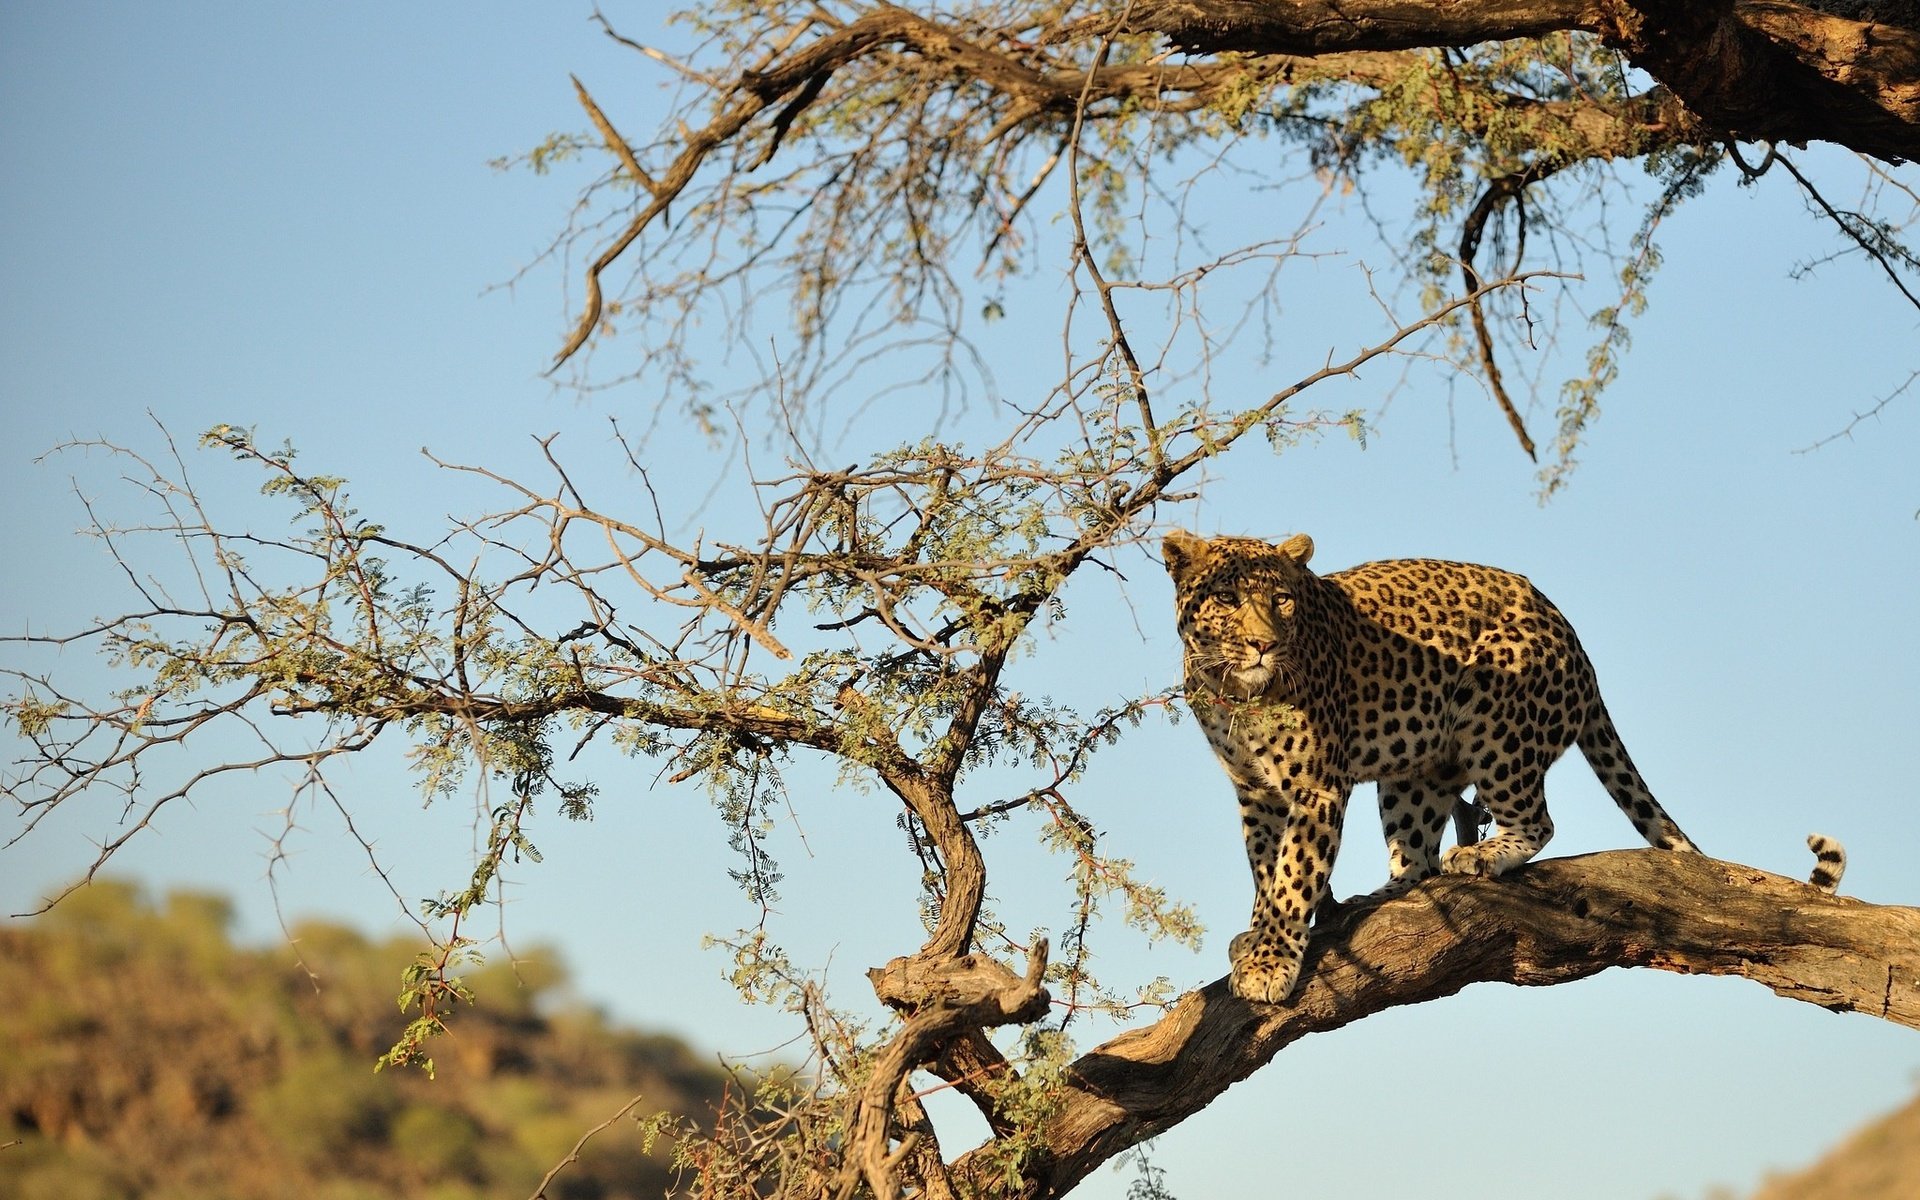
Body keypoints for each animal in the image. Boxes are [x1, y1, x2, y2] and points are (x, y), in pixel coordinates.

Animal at [1167, 529, 1728, 1006]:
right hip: (1416, 771)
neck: (1235, 691)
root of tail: (1576, 642)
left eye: (1282, 599)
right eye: (1227, 599)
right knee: (1417, 860)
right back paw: (1372, 899)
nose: (1264, 644)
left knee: (1536, 821)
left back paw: (1482, 854)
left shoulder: (1316, 785)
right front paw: (1257, 937)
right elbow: (1265, 868)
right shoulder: (1255, 790)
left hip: (1498, 719)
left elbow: (1291, 876)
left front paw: (1270, 963)